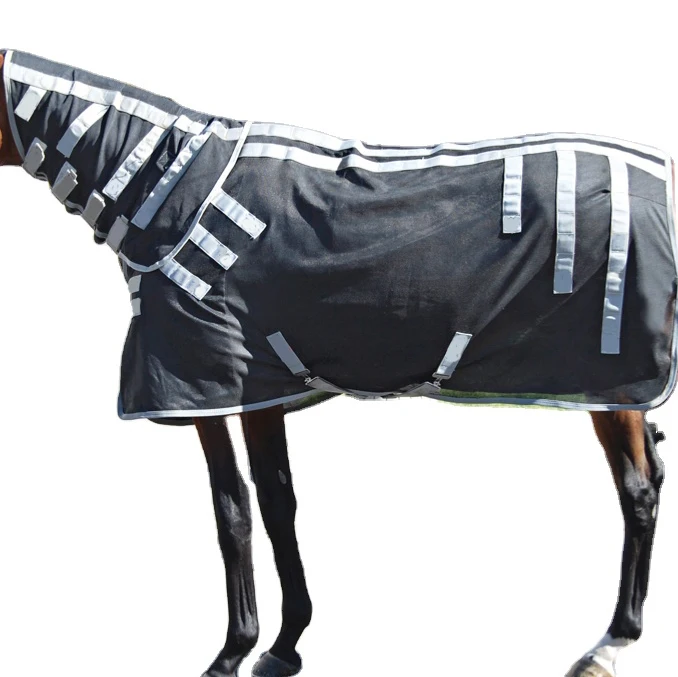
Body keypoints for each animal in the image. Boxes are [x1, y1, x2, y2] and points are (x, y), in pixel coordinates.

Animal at [0, 49, 674, 677]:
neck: (169, 188)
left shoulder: (205, 387)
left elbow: (232, 514)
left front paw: (232, 651)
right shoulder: (260, 388)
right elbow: (278, 505)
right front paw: (284, 644)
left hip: (612, 385)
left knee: (638, 491)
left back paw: (612, 643)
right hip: (622, 392)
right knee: (656, 469)